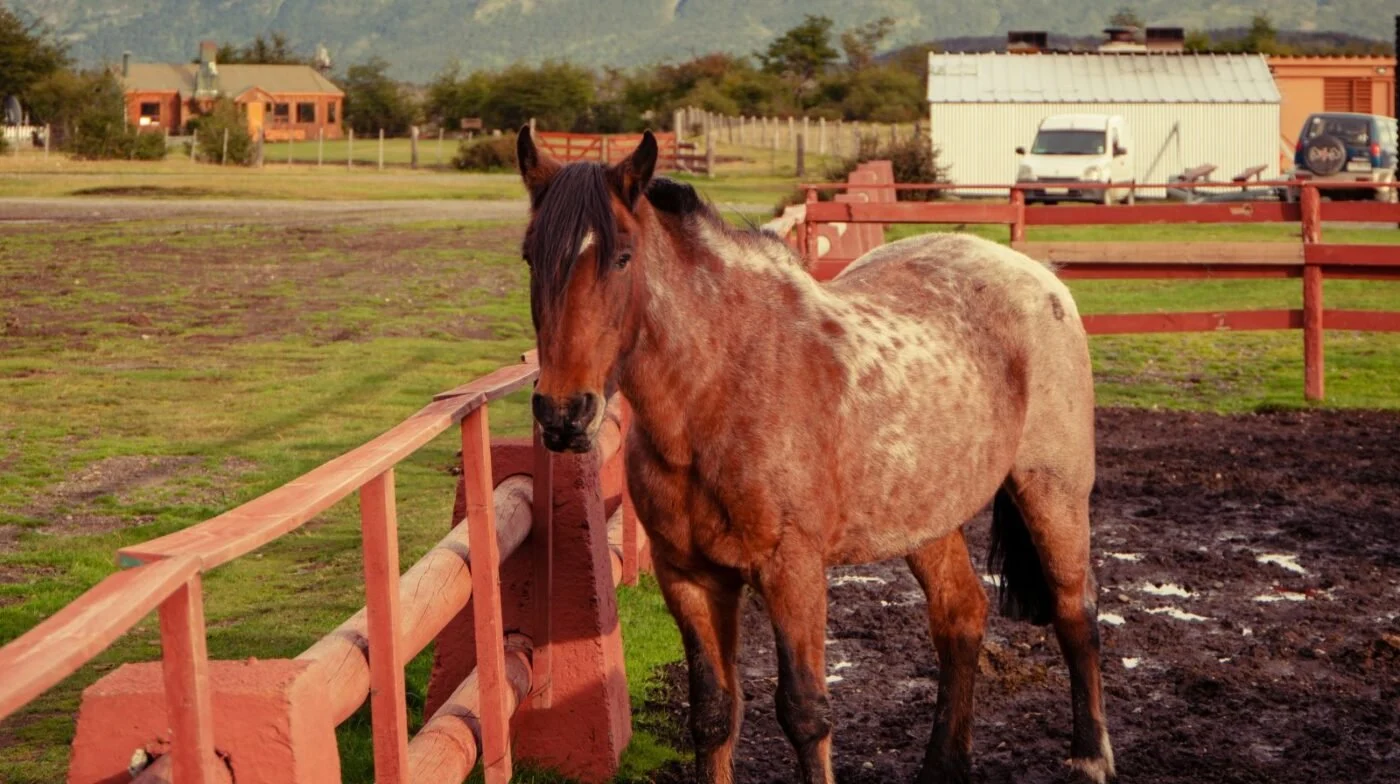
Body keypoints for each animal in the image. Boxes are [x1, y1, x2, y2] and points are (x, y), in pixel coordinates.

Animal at [516, 128, 1115, 784]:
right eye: (530, 257)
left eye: (622, 257)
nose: (563, 413)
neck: (718, 390)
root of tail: (1039, 277)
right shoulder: (689, 577)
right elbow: (713, 712)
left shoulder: (793, 571)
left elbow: (804, 711)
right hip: (928, 518)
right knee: (960, 616)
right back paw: (943, 765)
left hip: (1052, 492)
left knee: (1075, 612)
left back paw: (1091, 757)